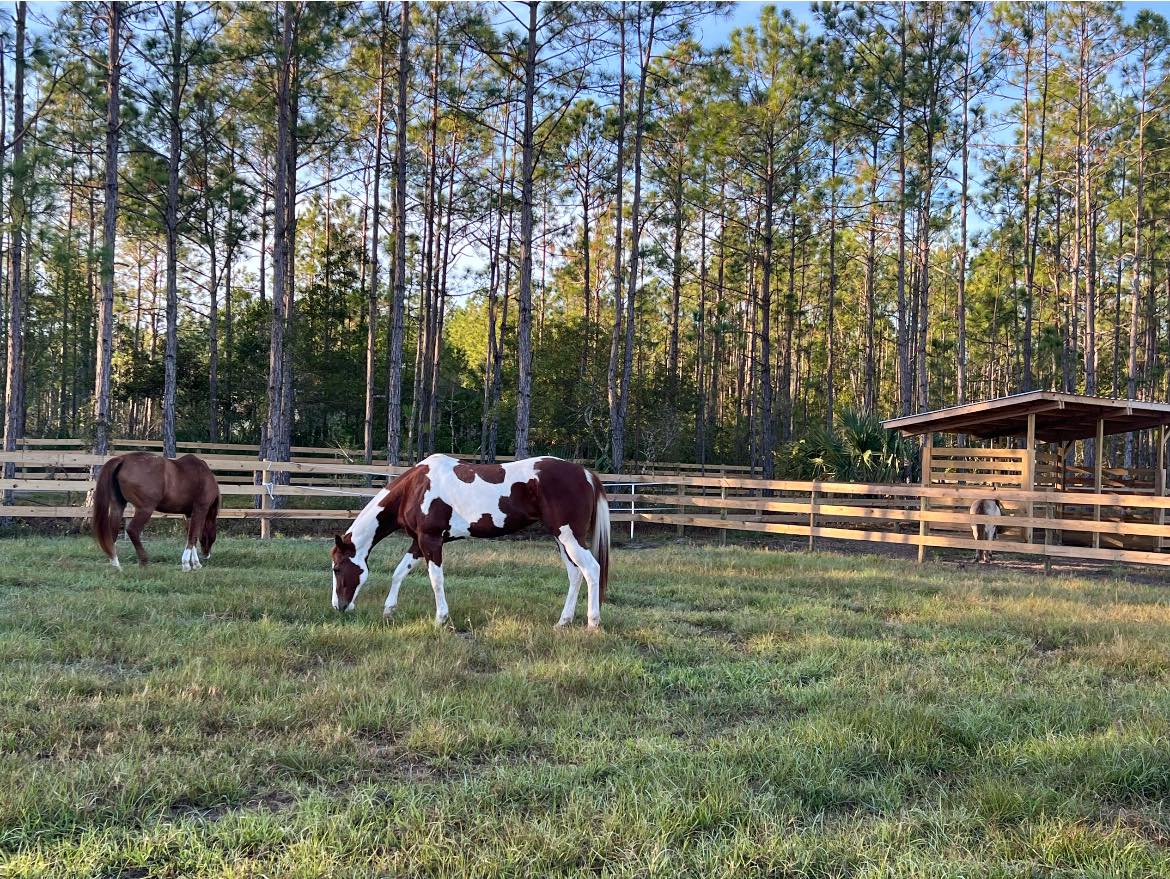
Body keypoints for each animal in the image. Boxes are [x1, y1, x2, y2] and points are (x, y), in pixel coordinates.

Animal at [92, 452, 221, 571]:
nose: (206, 555)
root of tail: (123, 459)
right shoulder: (200, 509)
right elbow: (193, 536)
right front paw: (186, 564)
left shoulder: (188, 514)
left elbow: (191, 535)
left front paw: (195, 563)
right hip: (145, 509)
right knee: (132, 530)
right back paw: (143, 560)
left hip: (118, 507)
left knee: (112, 533)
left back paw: (115, 564)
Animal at [330, 453, 610, 629]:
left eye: (337, 568)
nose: (339, 607)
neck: (416, 489)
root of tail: (585, 473)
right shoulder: (419, 542)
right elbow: (400, 572)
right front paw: (389, 610)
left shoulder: (431, 541)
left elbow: (436, 580)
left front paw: (440, 619)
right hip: (561, 540)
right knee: (575, 575)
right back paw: (563, 622)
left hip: (570, 537)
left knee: (591, 570)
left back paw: (593, 623)